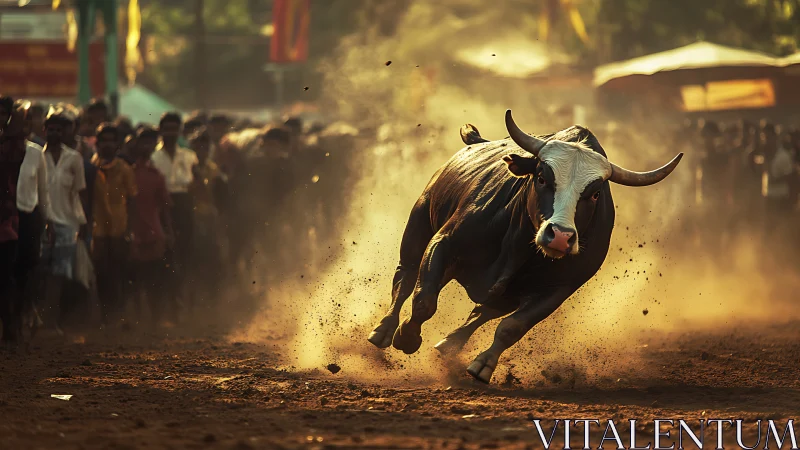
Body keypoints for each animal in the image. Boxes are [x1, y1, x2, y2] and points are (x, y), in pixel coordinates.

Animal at [367, 110, 683, 383]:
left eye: (593, 194)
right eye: (542, 177)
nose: (560, 237)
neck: (518, 247)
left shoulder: (557, 289)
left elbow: (511, 327)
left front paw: (483, 365)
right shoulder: (443, 244)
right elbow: (424, 300)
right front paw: (406, 337)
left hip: (507, 293)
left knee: (480, 312)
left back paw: (448, 345)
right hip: (419, 224)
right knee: (405, 278)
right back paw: (383, 331)